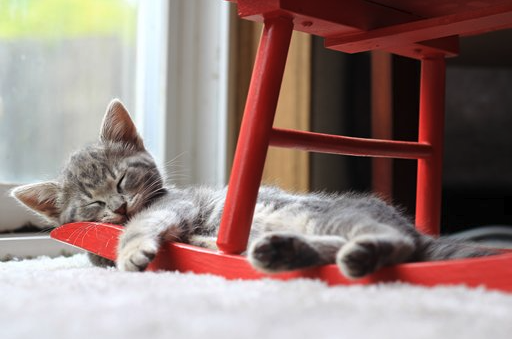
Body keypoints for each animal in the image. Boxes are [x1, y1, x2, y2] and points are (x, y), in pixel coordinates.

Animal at [11, 99, 500, 278]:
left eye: (121, 179)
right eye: (92, 202)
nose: (118, 205)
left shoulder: (175, 205)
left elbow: (142, 224)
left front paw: (130, 248)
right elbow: (96, 252)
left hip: (318, 213)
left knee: (394, 245)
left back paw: (354, 254)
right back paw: (279, 251)